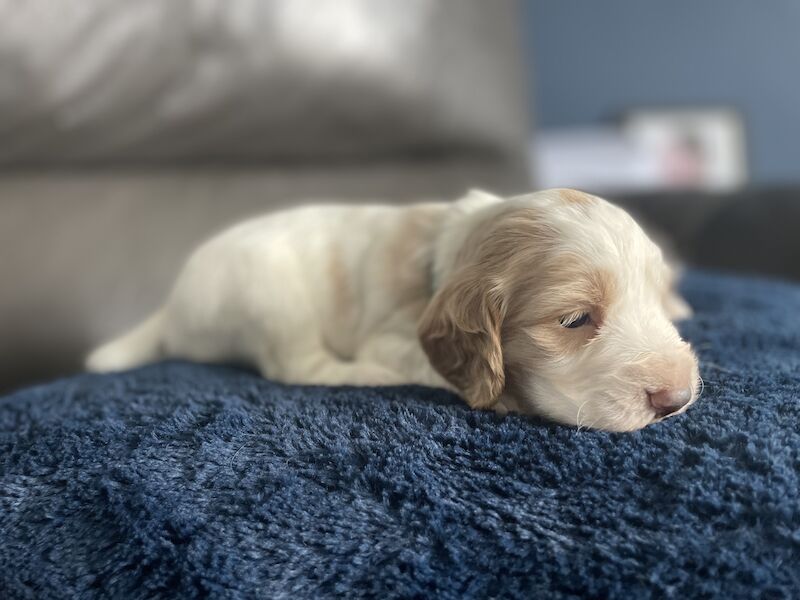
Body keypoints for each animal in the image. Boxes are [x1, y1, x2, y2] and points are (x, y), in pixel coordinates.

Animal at [89, 190, 700, 428]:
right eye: (574, 319)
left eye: (655, 299)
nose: (676, 399)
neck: (448, 245)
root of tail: (170, 308)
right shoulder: (391, 335)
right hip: (268, 291)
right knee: (300, 367)